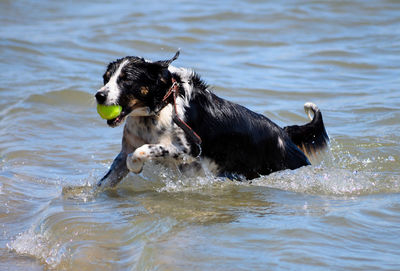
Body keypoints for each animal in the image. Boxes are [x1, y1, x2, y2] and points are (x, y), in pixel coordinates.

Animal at [96, 51, 328, 188]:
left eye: (126, 80)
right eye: (106, 78)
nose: (99, 95)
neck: (160, 107)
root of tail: (284, 134)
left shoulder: (190, 150)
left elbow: (143, 150)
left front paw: (136, 166)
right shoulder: (125, 150)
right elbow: (107, 180)